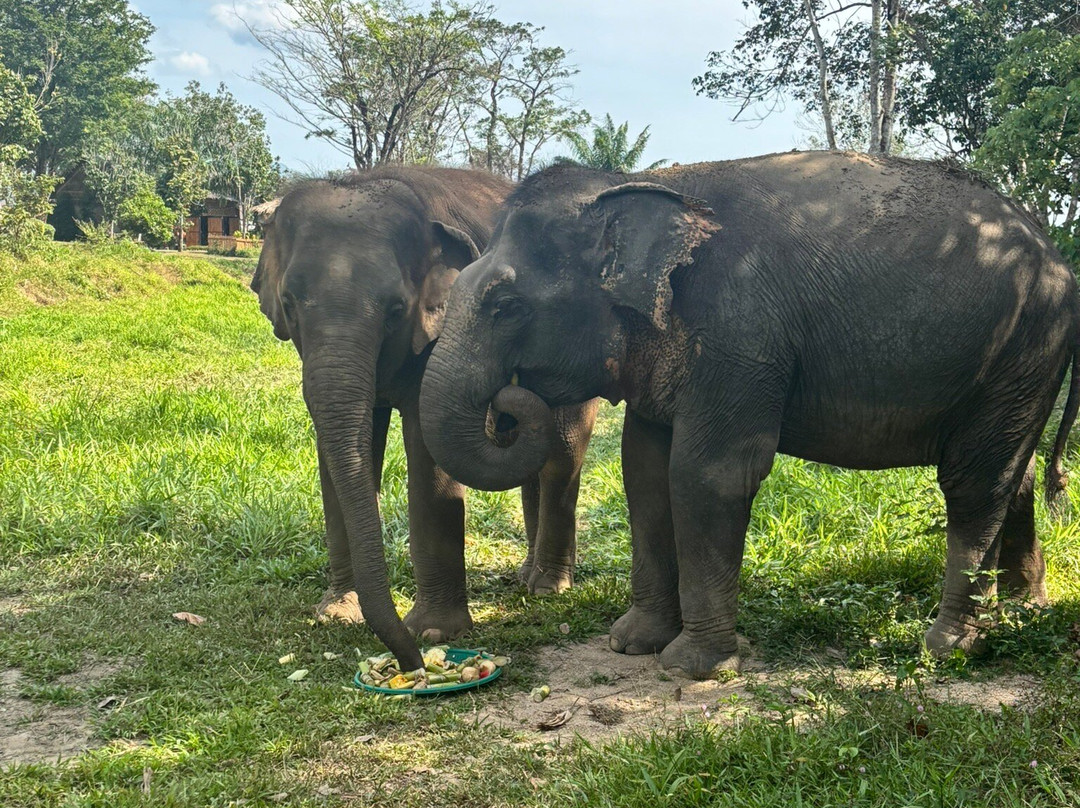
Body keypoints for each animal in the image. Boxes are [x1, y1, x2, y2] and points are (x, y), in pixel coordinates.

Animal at [250, 166, 596, 672]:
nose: (411, 662)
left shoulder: (440, 330)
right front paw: (336, 613)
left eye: (396, 309)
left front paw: (433, 632)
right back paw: (525, 575)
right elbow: (341, 450)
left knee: (561, 453)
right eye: (290, 303)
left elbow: (427, 451)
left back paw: (548, 587)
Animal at [419, 151, 1080, 679]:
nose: (508, 400)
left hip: (1025, 344)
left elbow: (707, 474)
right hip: (1022, 367)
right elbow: (645, 473)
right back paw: (1024, 607)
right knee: (1012, 473)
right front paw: (630, 643)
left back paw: (949, 649)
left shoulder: (740, 334)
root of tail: (1057, 256)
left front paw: (693, 667)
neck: (640, 185)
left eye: (505, 304)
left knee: (975, 482)